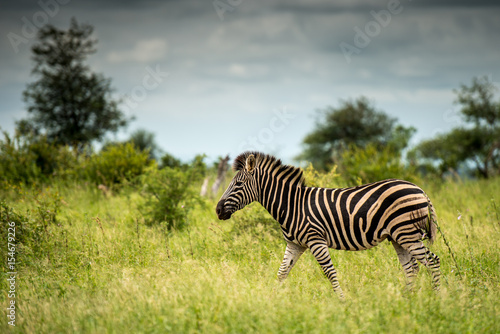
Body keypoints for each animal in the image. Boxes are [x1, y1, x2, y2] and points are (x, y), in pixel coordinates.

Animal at [217, 151, 440, 298]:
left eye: (238, 184)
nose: (218, 210)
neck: (292, 205)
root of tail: (419, 189)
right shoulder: (295, 244)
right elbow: (282, 273)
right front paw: (271, 298)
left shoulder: (316, 240)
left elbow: (329, 272)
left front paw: (342, 301)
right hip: (398, 237)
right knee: (412, 268)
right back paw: (406, 299)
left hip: (407, 233)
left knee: (433, 261)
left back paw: (438, 299)